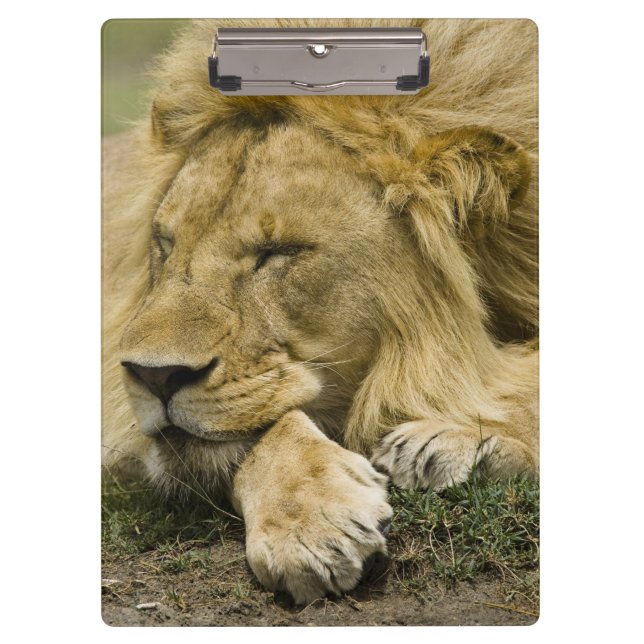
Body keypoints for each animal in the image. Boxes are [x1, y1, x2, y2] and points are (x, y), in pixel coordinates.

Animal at [102, 18, 538, 604]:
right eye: (166, 244)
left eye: (279, 251)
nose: (153, 376)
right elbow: (267, 426)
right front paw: (312, 525)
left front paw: (461, 438)